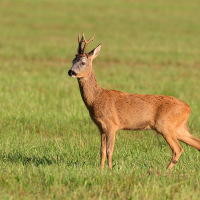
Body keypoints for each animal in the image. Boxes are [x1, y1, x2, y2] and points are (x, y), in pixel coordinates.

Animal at [67, 33, 200, 170]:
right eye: (72, 61)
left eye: (83, 62)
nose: (71, 71)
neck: (96, 99)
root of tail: (188, 108)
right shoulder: (101, 127)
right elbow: (102, 151)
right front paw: (101, 169)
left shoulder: (111, 124)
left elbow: (109, 150)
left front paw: (110, 169)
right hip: (178, 128)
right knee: (196, 143)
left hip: (165, 125)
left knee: (178, 149)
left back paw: (166, 170)